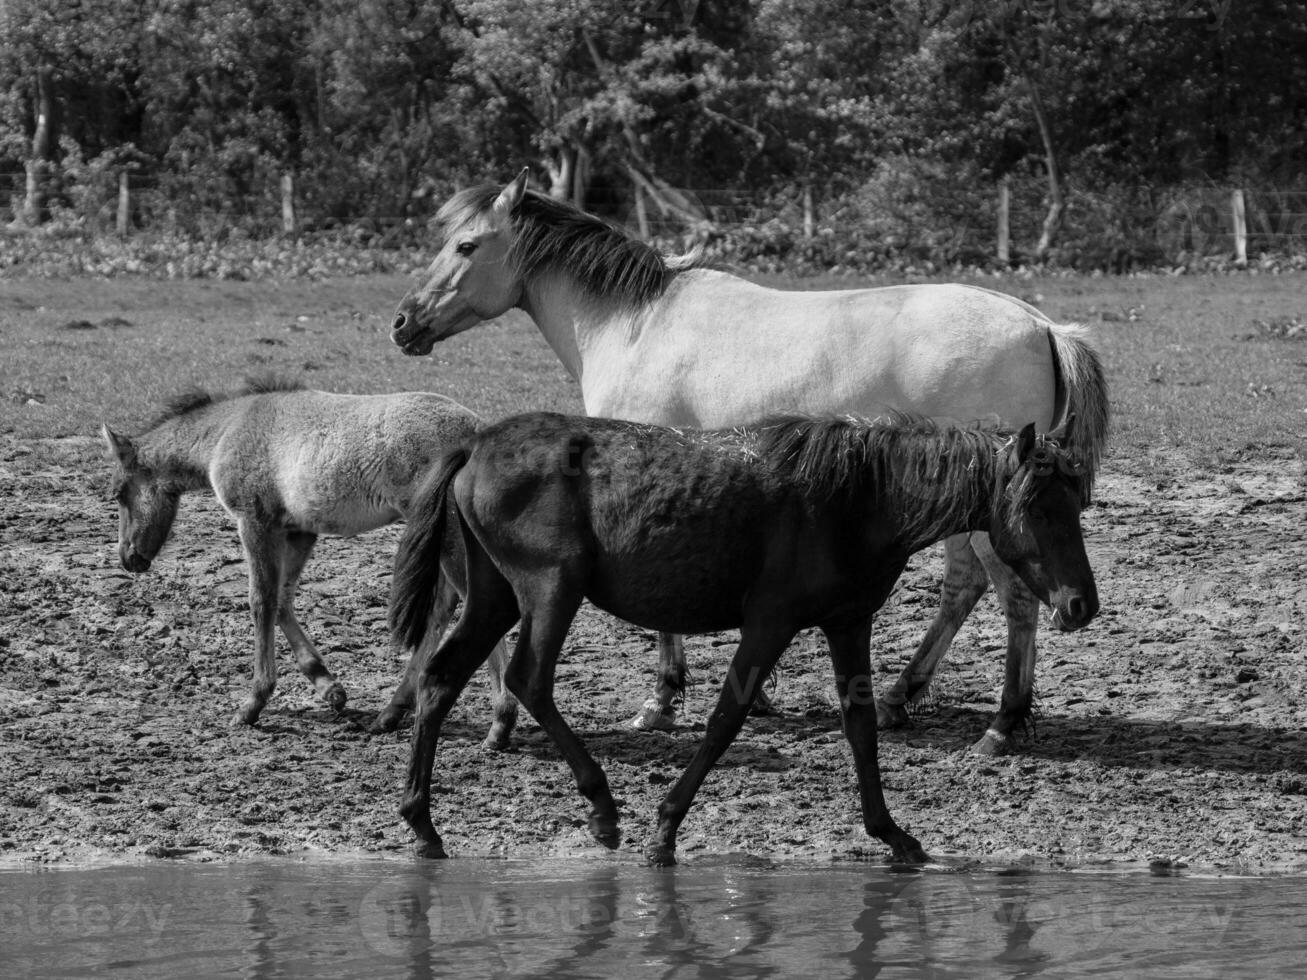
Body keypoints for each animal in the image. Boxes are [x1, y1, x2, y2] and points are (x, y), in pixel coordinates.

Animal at [99, 373, 514, 736]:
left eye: (118, 493)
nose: (128, 558)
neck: (227, 429)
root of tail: (478, 432)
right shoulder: (299, 531)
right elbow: (283, 600)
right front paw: (328, 686)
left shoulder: (255, 522)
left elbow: (261, 601)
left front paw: (253, 703)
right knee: (442, 610)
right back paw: (393, 712)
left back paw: (500, 721)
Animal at [389, 175, 1113, 757]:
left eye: (465, 246)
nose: (402, 322)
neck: (635, 325)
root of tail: (1042, 326)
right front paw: (751, 697)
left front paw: (661, 701)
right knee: (964, 589)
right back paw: (901, 697)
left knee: (1014, 599)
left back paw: (1001, 725)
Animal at [392, 412, 1097, 867]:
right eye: (1037, 507)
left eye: (1077, 504)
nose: (1080, 604)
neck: (859, 496)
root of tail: (476, 445)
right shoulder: (768, 623)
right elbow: (727, 718)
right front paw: (664, 831)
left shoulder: (848, 622)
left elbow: (860, 726)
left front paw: (891, 832)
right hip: (548, 590)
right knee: (528, 680)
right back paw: (601, 807)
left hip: (494, 597)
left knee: (441, 677)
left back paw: (423, 825)